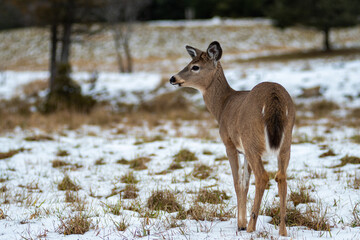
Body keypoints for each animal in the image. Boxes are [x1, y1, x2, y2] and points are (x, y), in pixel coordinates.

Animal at [169, 41, 296, 236]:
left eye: (195, 67)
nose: (173, 78)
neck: (222, 106)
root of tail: (274, 98)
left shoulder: (229, 143)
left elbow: (237, 182)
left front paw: (241, 224)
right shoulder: (244, 151)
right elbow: (245, 183)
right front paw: (241, 222)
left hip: (252, 140)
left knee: (263, 176)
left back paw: (252, 227)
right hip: (286, 141)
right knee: (281, 176)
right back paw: (282, 231)